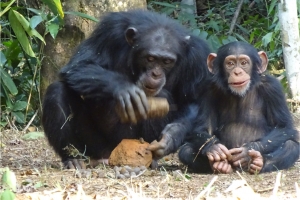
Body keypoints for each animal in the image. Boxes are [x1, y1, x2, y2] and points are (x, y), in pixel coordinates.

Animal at [42, 9, 211, 169]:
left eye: (167, 61)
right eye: (150, 58)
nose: (155, 74)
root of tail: (110, 156)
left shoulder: (197, 56)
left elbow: (194, 101)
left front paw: (171, 137)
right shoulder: (109, 31)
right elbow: (79, 65)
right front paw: (124, 89)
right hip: (94, 146)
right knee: (57, 91)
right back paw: (72, 158)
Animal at [179, 41, 298, 174]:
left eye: (244, 63)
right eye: (230, 64)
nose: (237, 72)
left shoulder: (273, 88)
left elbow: (283, 126)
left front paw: (247, 151)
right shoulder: (208, 89)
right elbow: (203, 127)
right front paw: (214, 147)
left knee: (291, 146)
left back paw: (258, 162)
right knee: (185, 150)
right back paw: (219, 165)